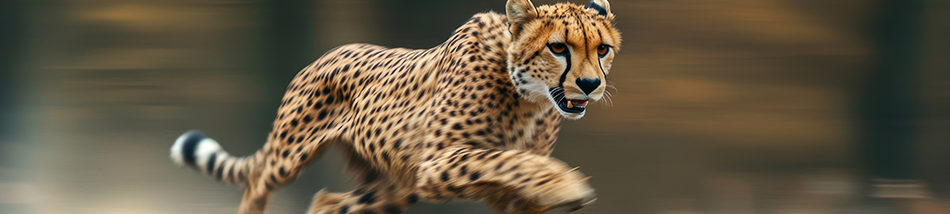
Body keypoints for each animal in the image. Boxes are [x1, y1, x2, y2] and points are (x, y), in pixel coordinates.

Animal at [167, 0, 620, 213]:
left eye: (602, 49)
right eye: (558, 48)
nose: (590, 84)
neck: (525, 96)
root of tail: (325, 54)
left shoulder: (493, 193)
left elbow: (520, 171)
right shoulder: (436, 162)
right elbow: (509, 159)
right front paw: (565, 185)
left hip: (393, 187)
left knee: (328, 204)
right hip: (289, 156)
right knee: (257, 182)